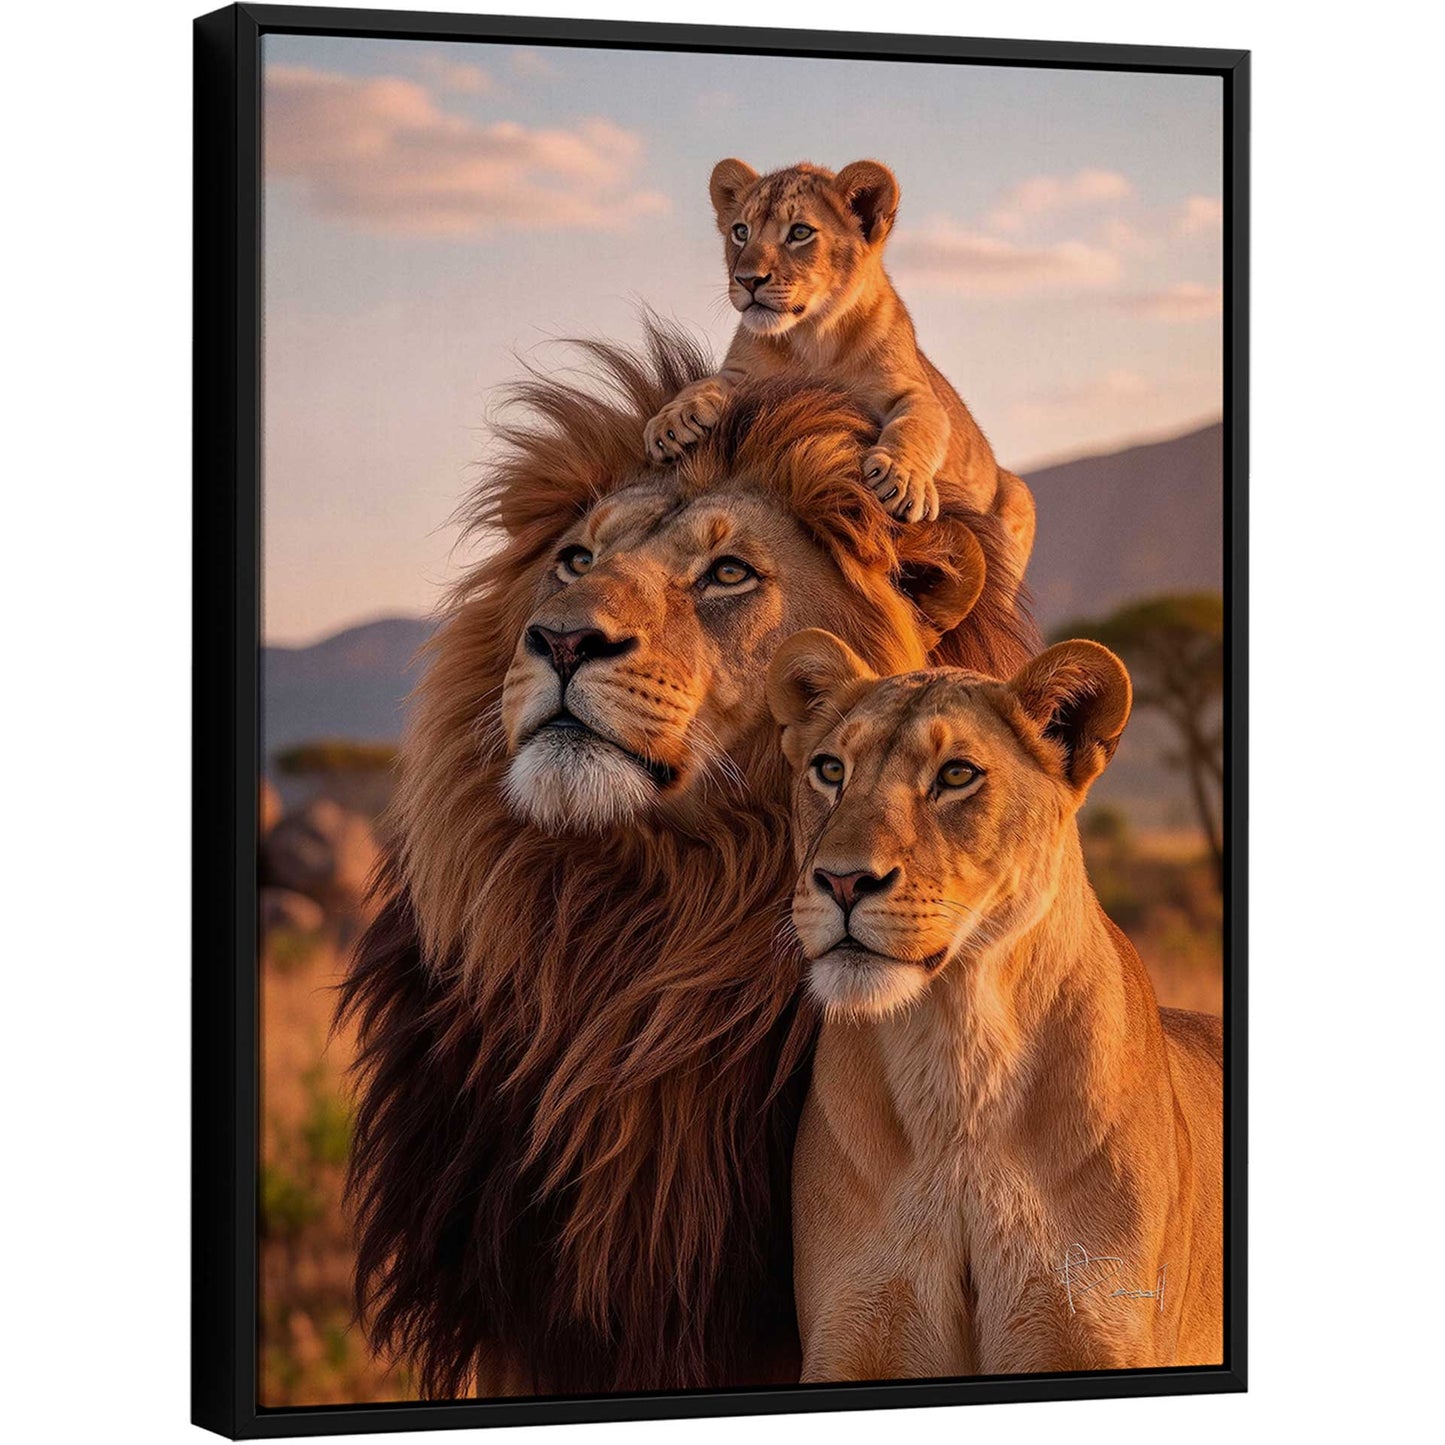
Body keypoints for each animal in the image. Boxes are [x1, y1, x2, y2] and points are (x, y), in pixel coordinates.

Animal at [643, 158, 1036, 578]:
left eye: (800, 233)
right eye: (740, 231)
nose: (747, 280)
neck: (811, 338)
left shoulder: (915, 392)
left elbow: (916, 426)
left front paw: (901, 481)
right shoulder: (741, 376)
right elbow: (704, 386)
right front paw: (671, 422)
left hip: (1019, 495)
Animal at [766, 632, 1223, 1379]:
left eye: (956, 775)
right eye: (829, 769)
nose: (840, 880)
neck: (958, 1053)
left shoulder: (1089, 1327)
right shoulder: (855, 1330)